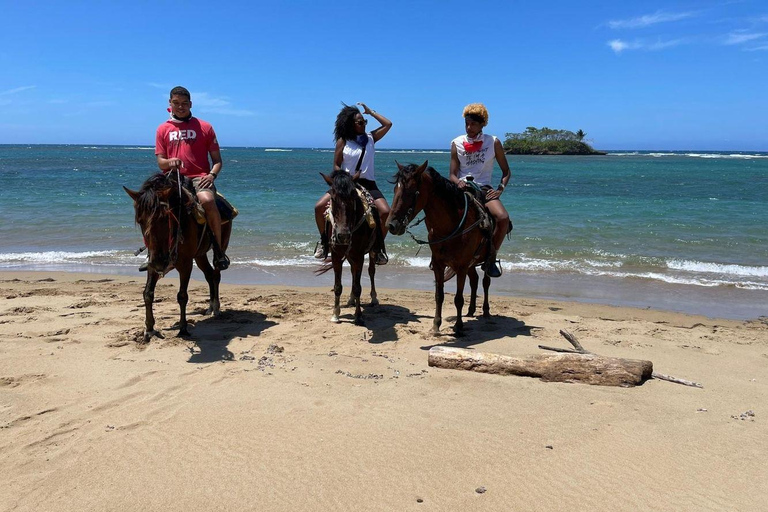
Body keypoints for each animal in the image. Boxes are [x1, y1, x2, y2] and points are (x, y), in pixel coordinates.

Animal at [121, 172, 231, 344]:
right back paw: (211, 306)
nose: (160, 261)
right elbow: (148, 293)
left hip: (221, 243)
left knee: (216, 273)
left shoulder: (185, 264)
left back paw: (216, 307)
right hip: (199, 255)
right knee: (209, 274)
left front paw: (183, 328)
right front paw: (149, 329)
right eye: (140, 221)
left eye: (164, 218)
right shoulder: (153, 264)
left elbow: (182, 296)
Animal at [316, 171, 380, 324]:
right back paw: (351, 299)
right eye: (332, 199)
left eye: (353, 199)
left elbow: (358, 287)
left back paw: (374, 299)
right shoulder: (336, 255)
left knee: (371, 271)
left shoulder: (359, 255)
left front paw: (358, 316)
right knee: (352, 271)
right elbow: (338, 286)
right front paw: (335, 314)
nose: (343, 236)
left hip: (372, 252)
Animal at [388, 162, 496, 334]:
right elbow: (439, 295)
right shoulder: (439, 264)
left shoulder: (461, 266)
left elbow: (458, 298)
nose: (391, 225)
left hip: (487, 259)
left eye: (412, 192)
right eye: (395, 190)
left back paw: (485, 311)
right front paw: (436, 325)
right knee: (475, 280)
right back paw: (471, 310)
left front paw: (458, 327)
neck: (451, 226)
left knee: (486, 281)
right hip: (472, 263)